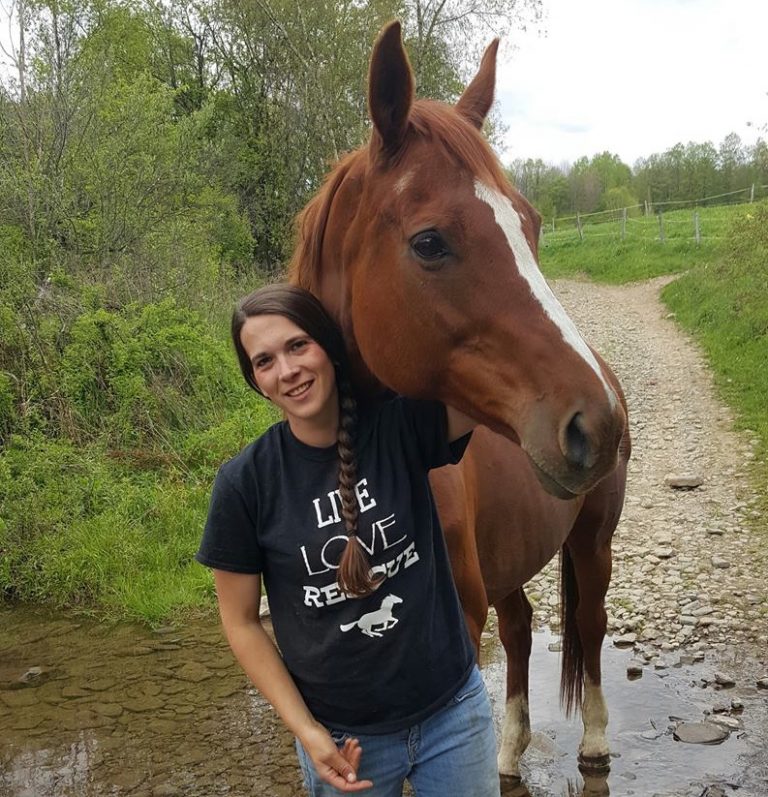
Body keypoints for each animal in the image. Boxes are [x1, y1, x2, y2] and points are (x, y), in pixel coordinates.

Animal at [289, 21, 631, 785]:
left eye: (531, 224)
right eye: (429, 241)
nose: (596, 424)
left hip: (593, 540)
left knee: (589, 623)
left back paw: (595, 738)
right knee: (523, 625)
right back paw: (509, 748)